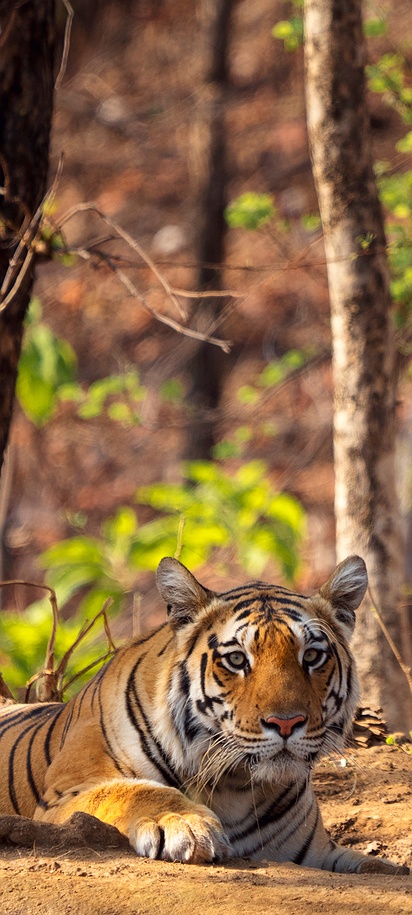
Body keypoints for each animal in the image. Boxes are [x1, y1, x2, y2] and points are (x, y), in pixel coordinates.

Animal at [0, 554, 408, 874]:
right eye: (237, 659)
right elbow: (132, 790)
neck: (236, 787)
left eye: (311, 656)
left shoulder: (320, 854)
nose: (286, 723)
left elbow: (374, 866)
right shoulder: (65, 793)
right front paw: (185, 825)